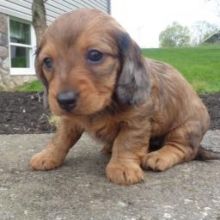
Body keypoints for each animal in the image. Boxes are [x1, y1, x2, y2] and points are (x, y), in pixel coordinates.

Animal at [30, 8, 219, 185]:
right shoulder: (69, 121)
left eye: (95, 55)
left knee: (182, 149)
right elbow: (60, 139)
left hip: (187, 127)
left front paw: (122, 167)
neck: (105, 105)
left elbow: (126, 143)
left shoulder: (136, 122)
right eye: (47, 61)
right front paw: (47, 155)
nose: (64, 100)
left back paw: (159, 156)